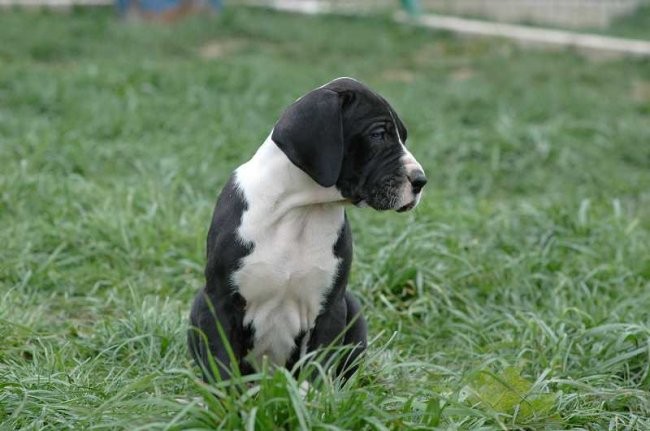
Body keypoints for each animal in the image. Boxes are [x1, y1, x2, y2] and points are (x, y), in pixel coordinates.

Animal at [187, 77, 426, 382]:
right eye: (378, 135)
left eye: (403, 137)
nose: (420, 180)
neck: (299, 210)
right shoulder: (219, 302)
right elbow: (222, 364)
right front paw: (226, 396)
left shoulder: (330, 309)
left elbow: (317, 367)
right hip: (199, 301)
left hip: (352, 307)